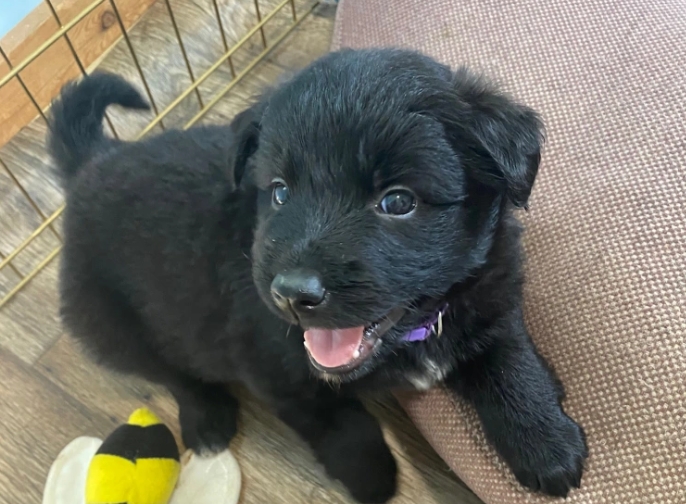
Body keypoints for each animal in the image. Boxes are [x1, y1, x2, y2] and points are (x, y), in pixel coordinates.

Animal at [52, 48, 592, 504]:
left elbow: (512, 365)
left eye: (398, 201)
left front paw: (547, 443)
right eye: (279, 192)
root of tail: (93, 162)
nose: (291, 295)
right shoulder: (276, 372)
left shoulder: (491, 298)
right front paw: (372, 477)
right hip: (111, 322)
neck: (415, 333)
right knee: (170, 372)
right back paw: (207, 419)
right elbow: (339, 423)